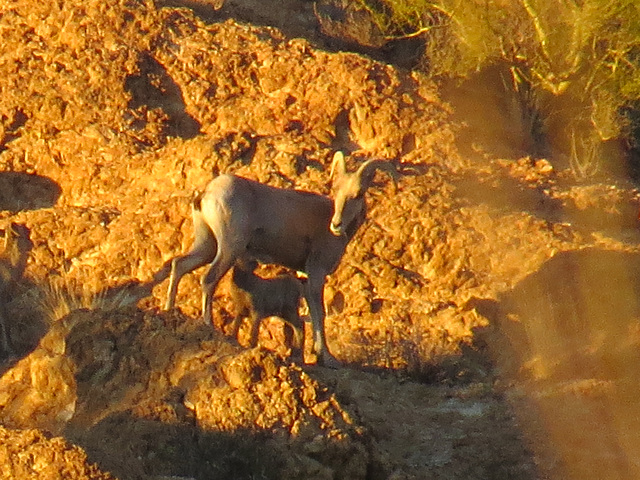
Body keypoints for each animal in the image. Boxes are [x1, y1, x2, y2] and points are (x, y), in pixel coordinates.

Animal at [165, 152, 396, 366]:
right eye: (337, 190)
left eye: (358, 193)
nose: (336, 224)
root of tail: (207, 192)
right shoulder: (317, 272)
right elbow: (319, 313)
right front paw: (327, 357)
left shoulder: (304, 275)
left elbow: (310, 313)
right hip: (229, 248)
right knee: (209, 279)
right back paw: (209, 325)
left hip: (207, 246)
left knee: (179, 265)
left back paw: (169, 310)